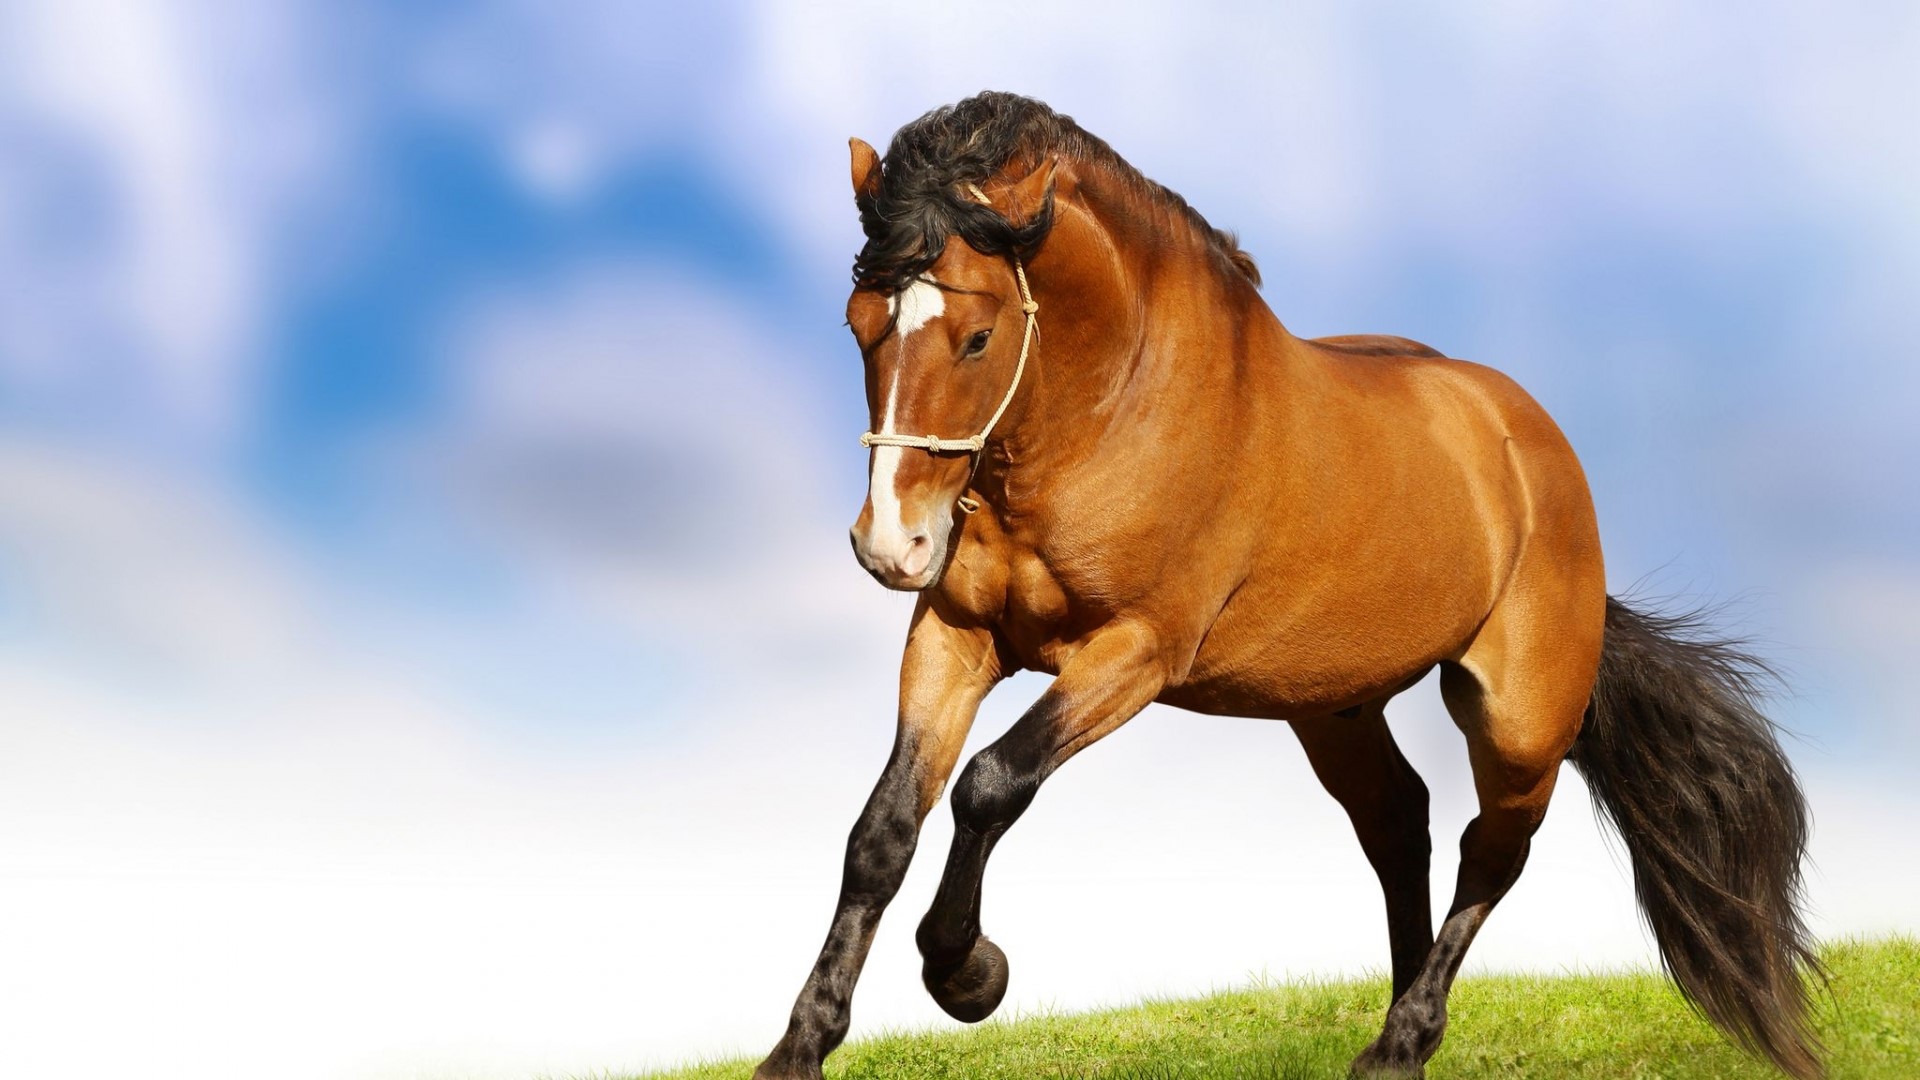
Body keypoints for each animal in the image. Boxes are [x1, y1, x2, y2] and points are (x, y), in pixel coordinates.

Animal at [752, 92, 1819, 1080]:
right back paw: (1405, 1033)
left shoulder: (1134, 653)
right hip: (1334, 707)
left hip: (1520, 718)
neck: (1111, 412)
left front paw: (968, 974)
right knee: (1399, 823)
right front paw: (799, 1047)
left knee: (1494, 850)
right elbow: (883, 829)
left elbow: (988, 785)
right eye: (859, 324)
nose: (891, 545)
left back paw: (1401, 1042)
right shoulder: (955, 635)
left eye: (976, 337)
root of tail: (1531, 443)